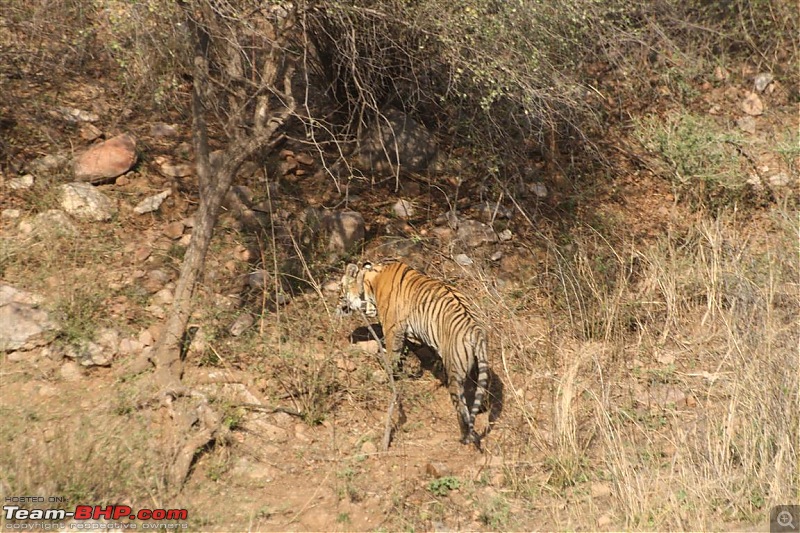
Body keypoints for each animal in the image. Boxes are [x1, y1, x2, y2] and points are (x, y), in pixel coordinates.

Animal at [338, 260, 488, 442]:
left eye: (340, 288)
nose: (338, 302)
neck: (371, 282)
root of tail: (475, 329)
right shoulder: (414, 334)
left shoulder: (393, 329)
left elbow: (392, 355)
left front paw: (387, 375)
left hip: (455, 371)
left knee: (461, 407)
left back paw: (464, 436)